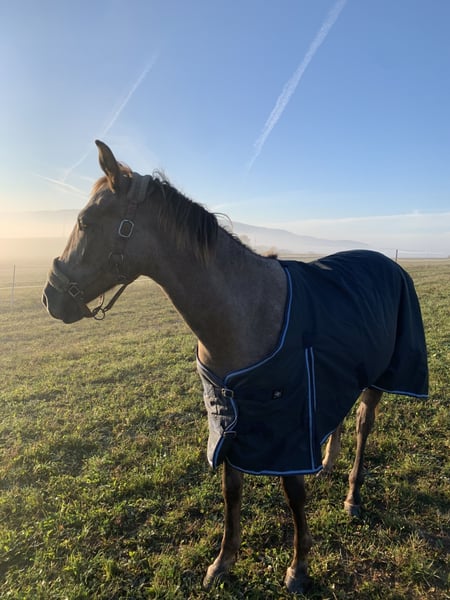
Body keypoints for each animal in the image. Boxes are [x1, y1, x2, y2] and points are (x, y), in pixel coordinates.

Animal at [42, 141, 428, 594]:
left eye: (84, 222)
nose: (50, 298)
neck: (243, 311)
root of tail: (389, 262)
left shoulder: (287, 420)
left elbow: (293, 492)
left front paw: (299, 567)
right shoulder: (230, 415)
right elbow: (232, 491)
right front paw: (223, 562)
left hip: (376, 380)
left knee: (363, 425)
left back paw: (352, 496)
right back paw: (327, 464)